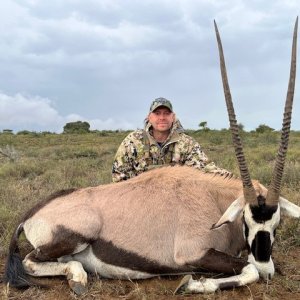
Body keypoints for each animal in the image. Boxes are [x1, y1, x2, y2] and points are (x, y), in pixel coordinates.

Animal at [2, 18, 300, 296]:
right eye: (246, 222)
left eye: (277, 224)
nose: (267, 268)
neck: (213, 199)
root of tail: (31, 214)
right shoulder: (194, 253)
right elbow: (248, 270)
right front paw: (191, 283)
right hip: (75, 235)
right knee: (31, 261)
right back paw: (78, 278)